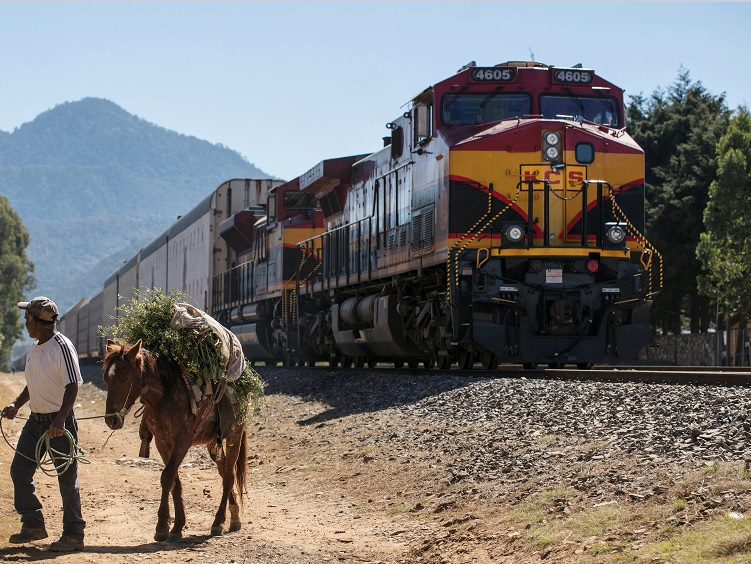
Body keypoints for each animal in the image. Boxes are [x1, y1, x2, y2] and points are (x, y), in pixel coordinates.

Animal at [101, 340, 248, 540]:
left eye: (124, 378)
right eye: (106, 379)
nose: (111, 420)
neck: (165, 396)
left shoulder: (182, 442)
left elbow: (167, 477)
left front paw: (162, 527)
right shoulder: (162, 442)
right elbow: (174, 482)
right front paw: (177, 526)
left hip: (234, 435)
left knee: (229, 476)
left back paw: (218, 522)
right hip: (212, 442)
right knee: (224, 472)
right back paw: (234, 516)